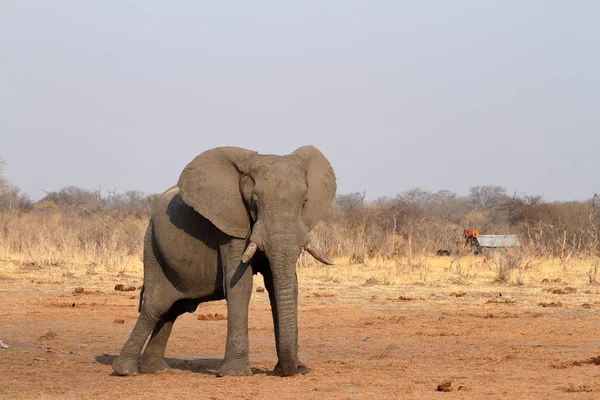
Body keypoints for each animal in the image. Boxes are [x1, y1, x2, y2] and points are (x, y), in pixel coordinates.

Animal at [111, 145, 338, 376]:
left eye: (304, 202)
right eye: (255, 202)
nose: (297, 370)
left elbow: (280, 284)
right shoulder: (231, 223)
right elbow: (240, 283)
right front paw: (235, 373)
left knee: (172, 309)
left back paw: (157, 369)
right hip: (152, 246)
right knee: (156, 305)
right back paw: (125, 371)